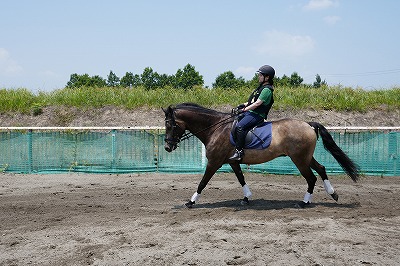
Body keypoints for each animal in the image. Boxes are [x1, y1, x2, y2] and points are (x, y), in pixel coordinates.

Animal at [162, 103, 360, 209]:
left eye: (170, 125)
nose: (167, 147)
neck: (216, 128)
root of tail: (308, 124)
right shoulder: (232, 162)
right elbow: (241, 178)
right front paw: (246, 197)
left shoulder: (214, 162)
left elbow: (202, 182)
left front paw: (190, 201)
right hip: (305, 157)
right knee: (321, 169)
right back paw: (333, 194)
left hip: (299, 159)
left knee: (311, 178)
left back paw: (304, 203)